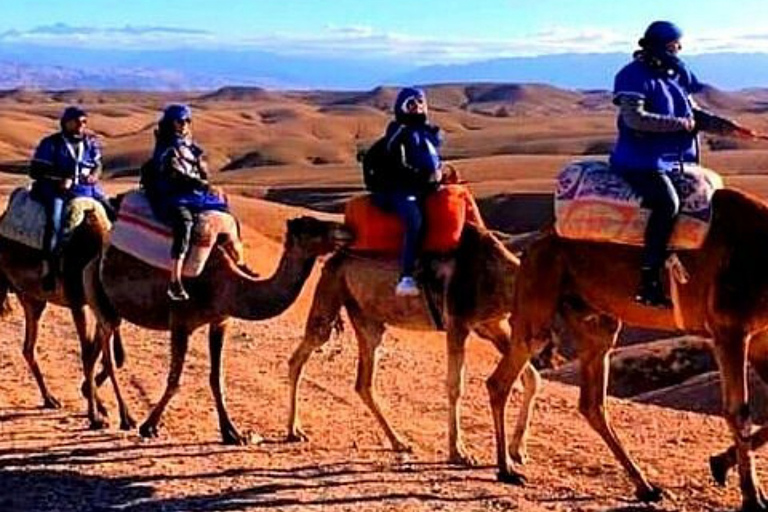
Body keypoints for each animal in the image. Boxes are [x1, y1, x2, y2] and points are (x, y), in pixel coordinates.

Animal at [0, 198, 120, 418]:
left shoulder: (98, 306)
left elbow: (96, 352)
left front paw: (96, 402)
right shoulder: (77, 303)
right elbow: (87, 352)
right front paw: (94, 414)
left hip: (33, 298)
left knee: (28, 347)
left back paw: (50, 399)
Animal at [82, 216, 352, 444]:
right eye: (313, 227)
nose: (345, 230)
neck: (226, 285)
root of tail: (95, 260)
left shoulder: (220, 322)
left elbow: (217, 378)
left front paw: (232, 432)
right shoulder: (180, 322)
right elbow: (174, 380)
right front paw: (149, 426)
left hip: (110, 308)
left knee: (93, 351)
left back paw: (95, 407)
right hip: (100, 296)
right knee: (106, 355)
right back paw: (123, 417)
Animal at [288, 224, 584, 468]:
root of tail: (334, 257)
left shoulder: (491, 325)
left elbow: (532, 378)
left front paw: (518, 451)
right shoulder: (457, 323)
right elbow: (455, 386)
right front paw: (459, 452)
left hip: (367, 318)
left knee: (364, 381)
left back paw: (398, 441)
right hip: (331, 288)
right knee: (304, 352)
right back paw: (294, 431)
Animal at [498, 187, 768, 508]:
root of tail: (536, 242)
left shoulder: (760, 337)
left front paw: (721, 465)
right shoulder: (730, 330)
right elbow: (738, 411)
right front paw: (752, 496)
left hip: (595, 320)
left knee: (592, 402)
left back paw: (645, 487)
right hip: (539, 291)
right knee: (502, 379)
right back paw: (506, 470)